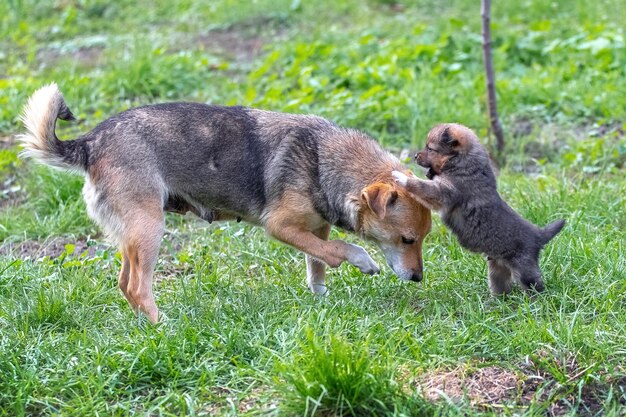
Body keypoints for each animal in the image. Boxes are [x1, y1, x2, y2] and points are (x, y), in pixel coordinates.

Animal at [18, 82, 428, 322]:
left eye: (423, 239)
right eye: (407, 239)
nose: (418, 278)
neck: (321, 159)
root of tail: (90, 143)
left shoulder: (317, 227)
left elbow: (318, 263)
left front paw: (321, 298)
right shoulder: (280, 227)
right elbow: (339, 250)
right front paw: (363, 261)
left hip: (132, 236)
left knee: (124, 283)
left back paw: (145, 325)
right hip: (150, 229)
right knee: (136, 287)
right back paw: (163, 327)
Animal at [392, 122, 564, 292]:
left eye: (430, 149)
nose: (415, 156)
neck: (461, 161)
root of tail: (538, 235)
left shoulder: (444, 192)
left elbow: (421, 186)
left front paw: (402, 177)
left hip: (525, 270)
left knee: (535, 285)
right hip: (497, 267)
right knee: (501, 286)